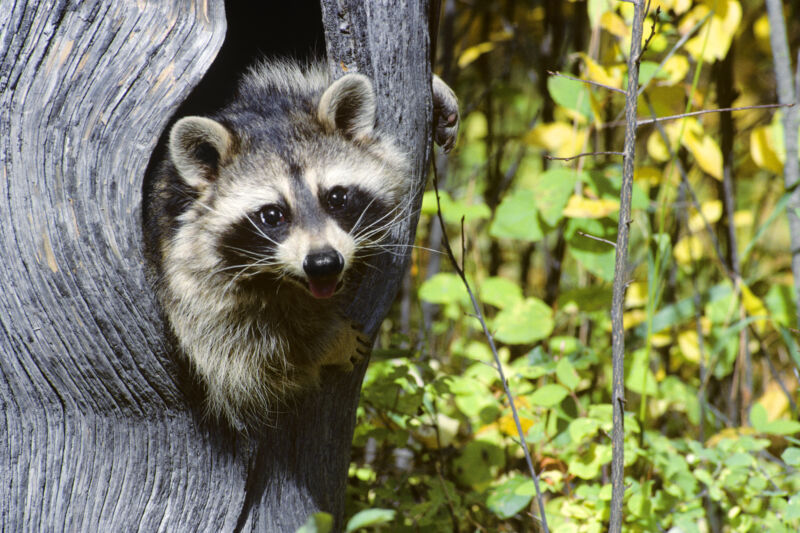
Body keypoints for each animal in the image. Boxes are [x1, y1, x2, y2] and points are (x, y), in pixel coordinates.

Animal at [143, 59, 458, 429]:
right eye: (272, 215)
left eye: (336, 197)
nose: (324, 263)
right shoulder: (181, 267)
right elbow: (241, 361)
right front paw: (323, 343)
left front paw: (435, 86)